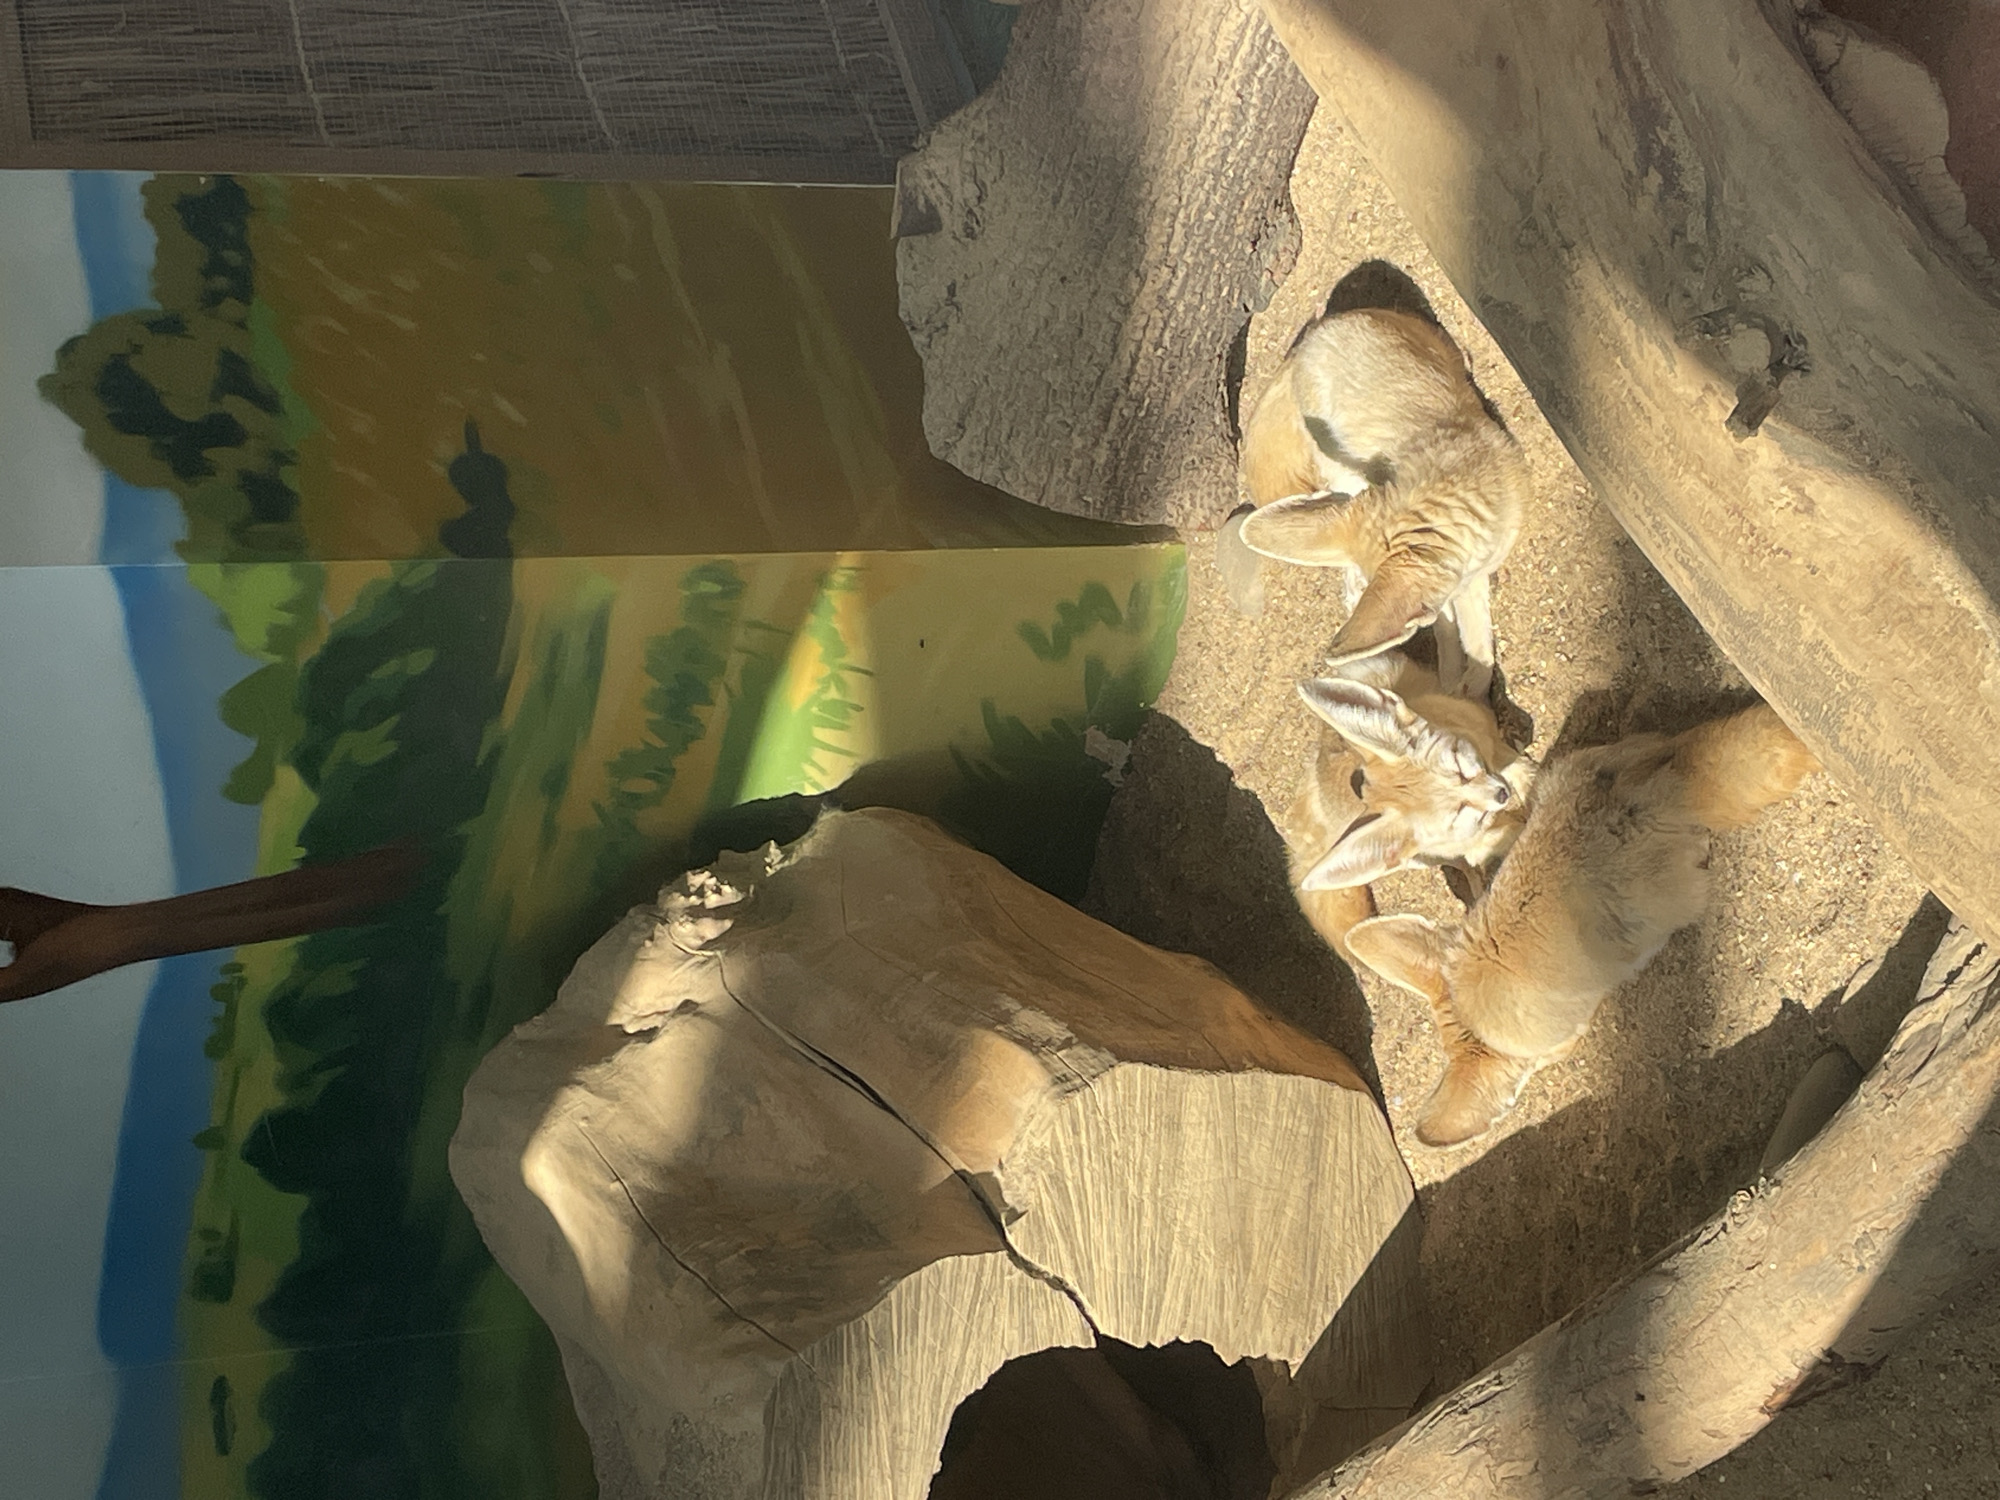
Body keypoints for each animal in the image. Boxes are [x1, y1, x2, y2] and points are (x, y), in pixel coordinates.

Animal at [1237, 306, 1529, 700]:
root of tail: (1307, 343)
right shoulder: (1460, 579)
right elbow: (1454, 630)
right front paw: (1456, 681)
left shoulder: (1471, 574)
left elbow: (1474, 633)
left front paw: (1471, 682)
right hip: (1334, 454)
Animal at [1281, 651, 1534, 962]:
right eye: (1459, 813)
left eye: (1461, 767)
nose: (1501, 795)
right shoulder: (1473, 836)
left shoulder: (1485, 737)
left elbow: (1508, 760)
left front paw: (1526, 778)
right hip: (1417, 858)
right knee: (1459, 863)